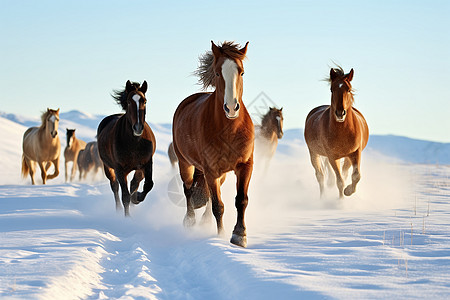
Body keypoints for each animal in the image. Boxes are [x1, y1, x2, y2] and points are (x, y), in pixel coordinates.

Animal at [97, 79, 156, 216]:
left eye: (144, 101)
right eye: (129, 102)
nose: (138, 127)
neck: (135, 142)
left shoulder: (147, 164)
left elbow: (148, 185)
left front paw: (137, 197)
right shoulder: (120, 169)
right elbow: (125, 196)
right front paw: (127, 217)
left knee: (134, 183)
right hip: (108, 167)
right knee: (115, 186)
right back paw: (119, 210)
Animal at [172, 41, 253, 247]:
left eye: (242, 72)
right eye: (217, 73)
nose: (231, 108)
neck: (230, 131)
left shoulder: (245, 165)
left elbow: (241, 200)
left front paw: (239, 235)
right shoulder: (210, 169)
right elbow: (218, 205)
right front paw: (221, 236)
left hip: (220, 174)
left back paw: (205, 221)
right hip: (186, 164)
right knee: (188, 190)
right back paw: (190, 221)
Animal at [304, 67, 370, 198]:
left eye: (348, 89)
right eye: (331, 89)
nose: (340, 113)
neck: (343, 131)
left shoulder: (355, 153)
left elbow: (356, 176)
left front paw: (348, 191)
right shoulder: (332, 157)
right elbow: (339, 181)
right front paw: (341, 200)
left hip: (347, 157)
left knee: (344, 173)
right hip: (314, 154)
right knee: (320, 176)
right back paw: (322, 198)